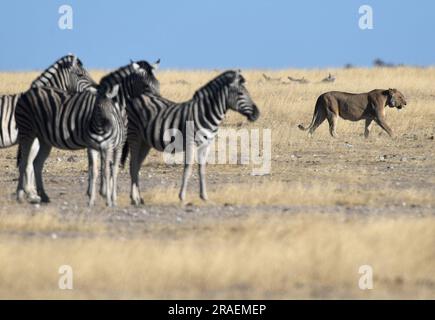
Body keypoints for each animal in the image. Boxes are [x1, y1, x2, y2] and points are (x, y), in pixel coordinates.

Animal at [14, 62, 159, 208]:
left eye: (158, 84)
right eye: (147, 86)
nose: (157, 103)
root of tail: (26, 93)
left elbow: (101, 166)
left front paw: (100, 192)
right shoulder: (102, 143)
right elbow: (101, 167)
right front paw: (102, 193)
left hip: (44, 139)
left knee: (36, 163)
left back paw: (43, 196)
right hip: (27, 132)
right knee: (24, 163)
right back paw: (21, 196)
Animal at [121, 69, 260, 205]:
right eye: (240, 93)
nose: (257, 114)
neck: (205, 113)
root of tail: (135, 98)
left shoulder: (206, 145)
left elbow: (202, 170)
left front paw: (204, 196)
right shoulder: (190, 143)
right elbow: (188, 169)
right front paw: (182, 197)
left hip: (145, 142)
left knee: (137, 165)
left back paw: (139, 198)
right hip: (134, 135)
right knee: (133, 165)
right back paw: (134, 199)